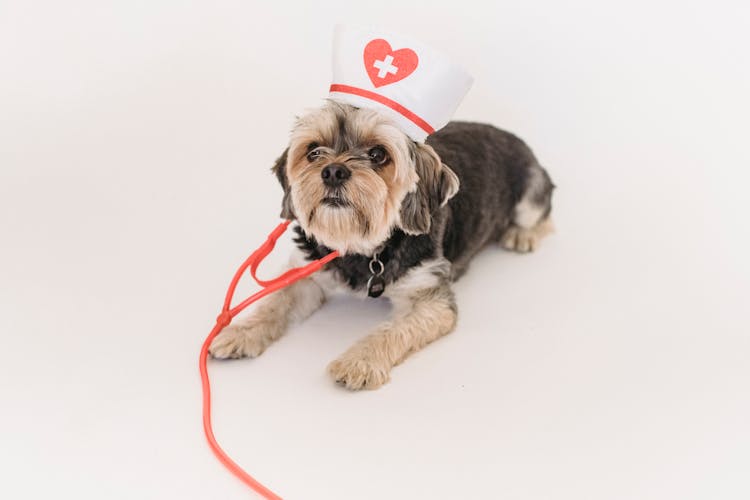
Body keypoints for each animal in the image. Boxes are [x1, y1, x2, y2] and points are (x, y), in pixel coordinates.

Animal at [209, 100, 556, 390]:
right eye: (313, 151)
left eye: (378, 155)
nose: (333, 171)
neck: (362, 247)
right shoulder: (307, 272)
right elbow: (274, 303)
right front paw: (239, 332)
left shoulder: (430, 299)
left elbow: (391, 331)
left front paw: (359, 362)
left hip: (531, 191)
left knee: (543, 214)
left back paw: (521, 235)